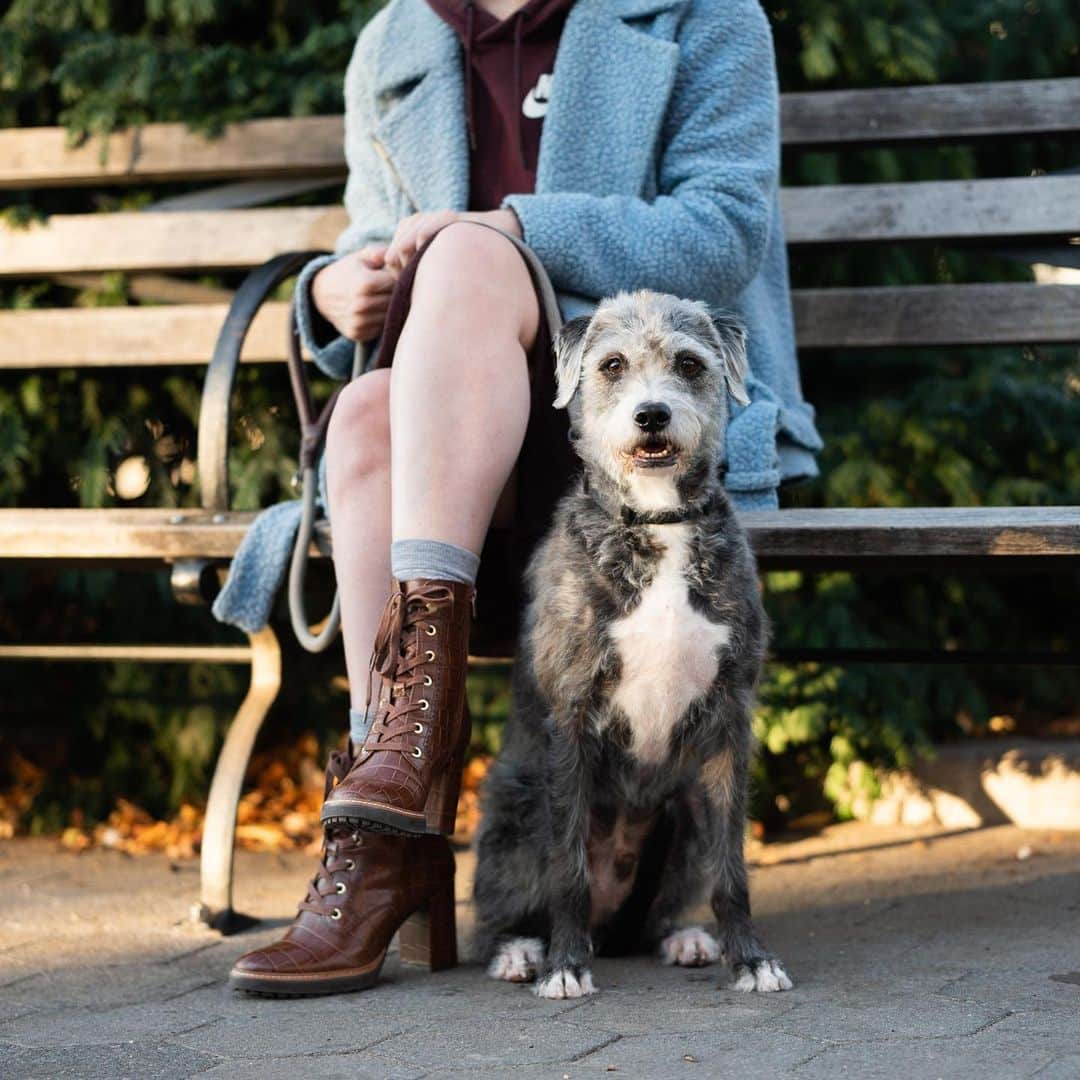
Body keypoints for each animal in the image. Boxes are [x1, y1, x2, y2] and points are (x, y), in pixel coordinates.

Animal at [473, 291, 794, 997]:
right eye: (613, 364)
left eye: (689, 362)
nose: (652, 415)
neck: (658, 521)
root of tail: (611, 927)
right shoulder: (570, 720)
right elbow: (567, 871)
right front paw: (566, 967)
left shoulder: (730, 720)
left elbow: (733, 870)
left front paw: (752, 958)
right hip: (516, 808)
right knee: (499, 911)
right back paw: (521, 950)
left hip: (683, 816)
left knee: (663, 907)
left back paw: (683, 937)